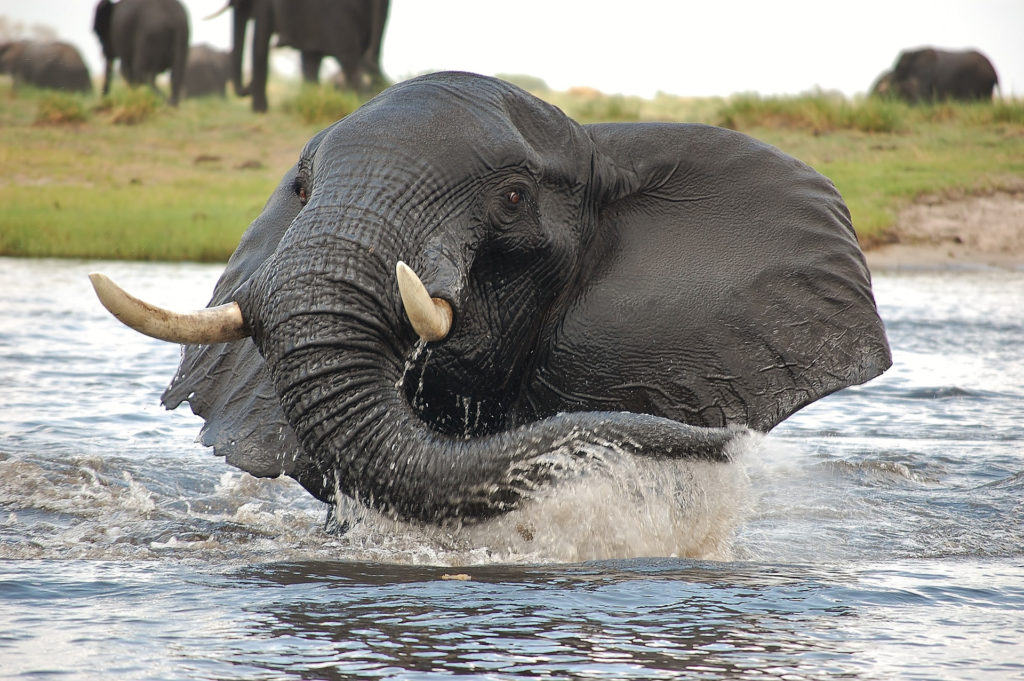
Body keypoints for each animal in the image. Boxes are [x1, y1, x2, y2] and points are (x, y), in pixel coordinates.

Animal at [212, 0, 389, 112]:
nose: (248, 85)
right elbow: (310, 61)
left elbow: (260, 44)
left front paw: (260, 111)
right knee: (372, 60)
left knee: (350, 62)